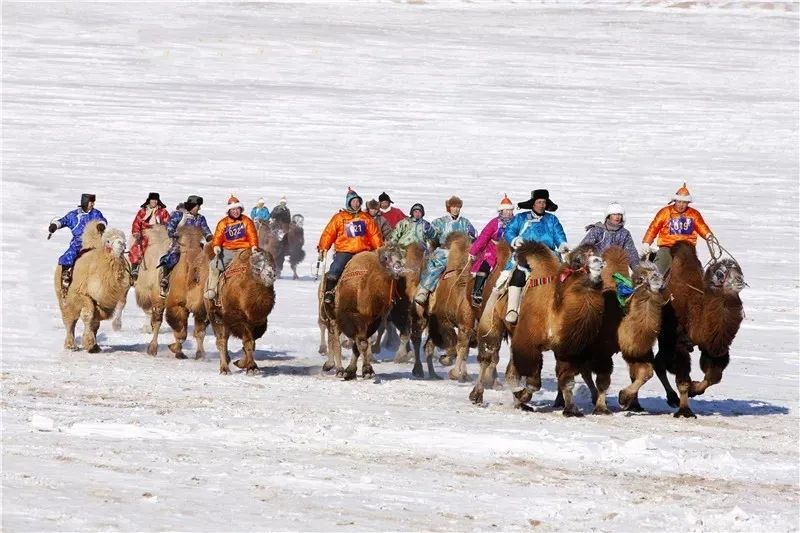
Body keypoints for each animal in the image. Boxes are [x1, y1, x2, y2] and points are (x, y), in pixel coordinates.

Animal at [54, 221, 130, 353]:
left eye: (123, 238)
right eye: (108, 241)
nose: (121, 243)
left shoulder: (104, 304)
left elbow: (95, 323)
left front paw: (94, 346)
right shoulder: (80, 295)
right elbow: (87, 316)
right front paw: (89, 343)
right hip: (64, 299)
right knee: (69, 320)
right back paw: (70, 345)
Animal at [321, 246, 405, 380]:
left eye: (400, 256)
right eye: (386, 258)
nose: (398, 267)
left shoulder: (373, 320)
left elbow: (359, 345)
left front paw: (352, 371)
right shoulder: (353, 317)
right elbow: (361, 342)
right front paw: (367, 370)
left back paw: (333, 366)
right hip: (334, 319)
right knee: (335, 342)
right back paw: (337, 369)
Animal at [655, 243, 745, 417]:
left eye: (739, 270)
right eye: (720, 273)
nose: (740, 281)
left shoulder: (711, 346)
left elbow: (714, 376)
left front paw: (694, 389)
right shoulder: (678, 343)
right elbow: (683, 379)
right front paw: (685, 411)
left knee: (658, 363)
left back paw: (672, 398)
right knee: (659, 364)